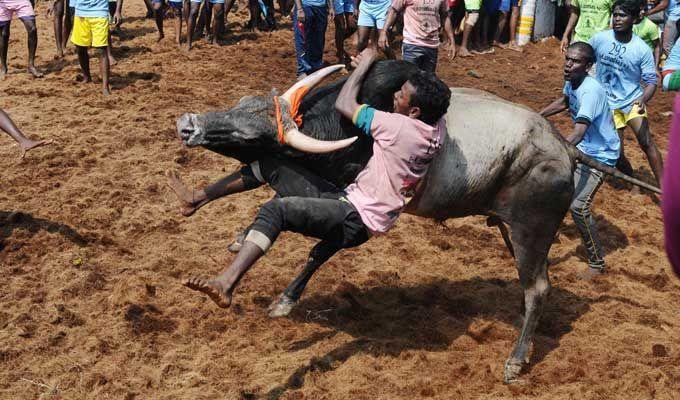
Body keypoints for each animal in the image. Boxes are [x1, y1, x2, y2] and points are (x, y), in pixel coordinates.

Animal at [174, 61, 660, 382]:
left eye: (247, 132)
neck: (345, 127)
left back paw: (517, 359)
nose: (188, 124)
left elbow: (318, 243)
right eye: (239, 106)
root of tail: (564, 149)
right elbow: (263, 186)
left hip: (530, 230)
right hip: (514, 231)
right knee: (537, 287)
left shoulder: (349, 203)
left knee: (537, 287)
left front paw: (280, 296)